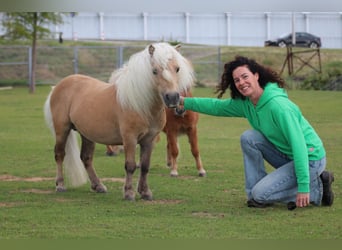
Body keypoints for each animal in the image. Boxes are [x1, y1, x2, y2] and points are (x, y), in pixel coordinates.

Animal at [43, 42, 194, 200]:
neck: (141, 105)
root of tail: (58, 86)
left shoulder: (149, 140)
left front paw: (145, 192)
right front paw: (129, 193)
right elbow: (130, 165)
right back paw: (60, 185)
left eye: (177, 69)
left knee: (86, 158)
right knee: (59, 154)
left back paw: (98, 186)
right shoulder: (130, 139)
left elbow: (145, 166)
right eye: (154, 71)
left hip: (87, 134)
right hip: (62, 130)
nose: (172, 98)